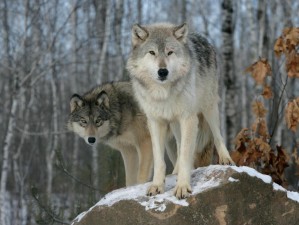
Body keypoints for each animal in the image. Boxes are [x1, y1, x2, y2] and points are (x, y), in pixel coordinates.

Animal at [126, 22, 234, 199]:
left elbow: (185, 155)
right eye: (152, 52)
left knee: (217, 135)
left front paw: (182, 187)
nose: (163, 71)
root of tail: (202, 37)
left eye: (170, 52)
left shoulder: (188, 118)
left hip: (208, 107)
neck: (163, 93)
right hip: (175, 123)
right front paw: (157, 186)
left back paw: (226, 159)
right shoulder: (155, 122)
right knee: (178, 144)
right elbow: (160, 160)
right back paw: (174, 172)